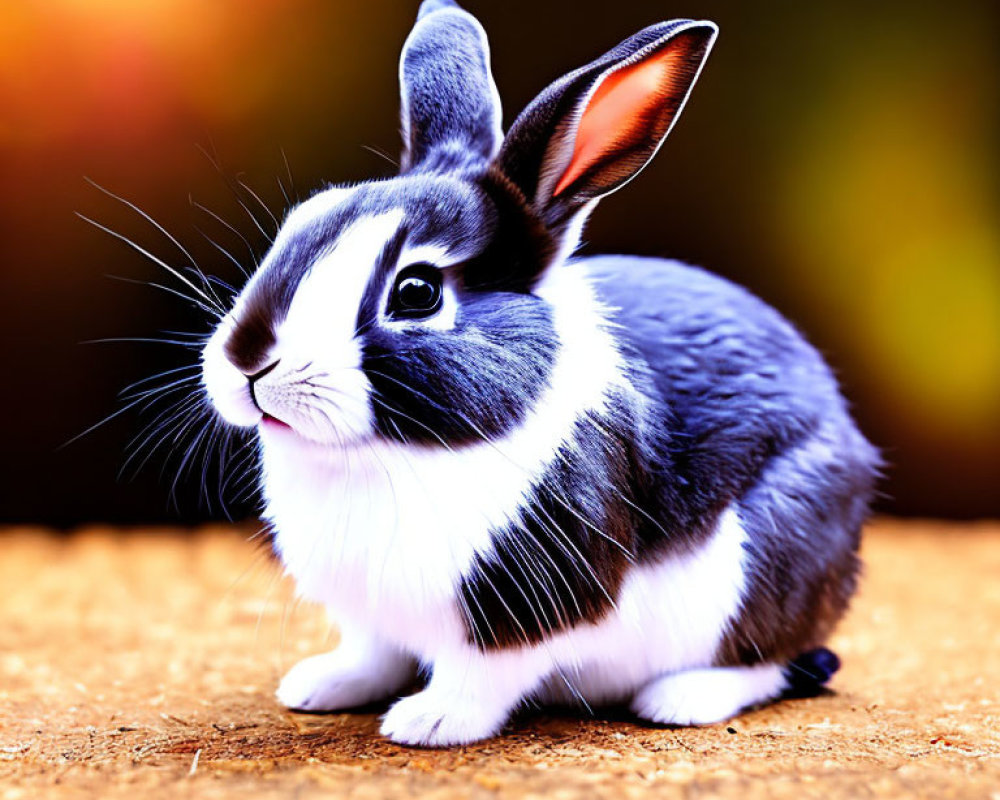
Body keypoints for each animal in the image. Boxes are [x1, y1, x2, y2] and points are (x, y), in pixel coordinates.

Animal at [201, 0, 876, 748]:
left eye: (417, 293)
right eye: (302, 221)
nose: (247, 364)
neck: (387, 453)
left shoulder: (527, 603)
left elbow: (483, 676)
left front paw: (429, 722)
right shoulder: (371, 615)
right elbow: (373, 653)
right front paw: (320, 687)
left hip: (771, 555)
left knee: (773, 660)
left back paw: (682, 699)